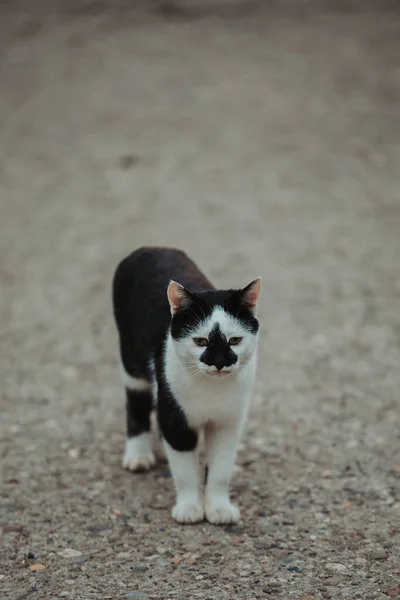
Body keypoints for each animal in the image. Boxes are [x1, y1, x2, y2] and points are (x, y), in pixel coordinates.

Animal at [113, 246, 262, 524]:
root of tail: (150, 248)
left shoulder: (227, 423)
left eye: (235, 340)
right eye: (201, 341)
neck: (211, 390)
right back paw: (138, 455)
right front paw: (190, 507)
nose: (219, 363)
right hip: (132, 361)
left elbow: (221, 470)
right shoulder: (175, 416)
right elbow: (184, 471)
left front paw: (219, 508)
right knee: (136, 402)